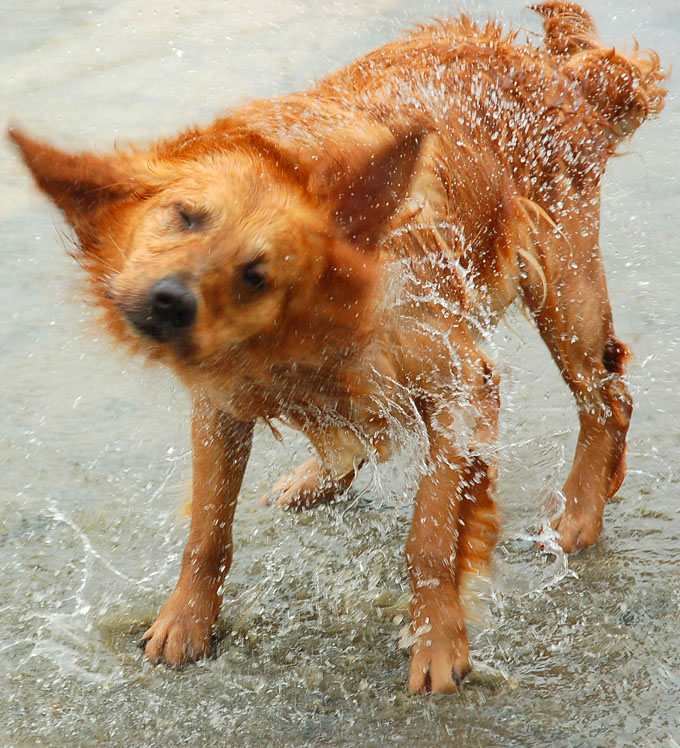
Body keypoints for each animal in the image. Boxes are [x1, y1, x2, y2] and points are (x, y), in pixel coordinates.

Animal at [10, 0, 668, 692]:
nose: (168, 300)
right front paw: (185, 620)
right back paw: (312, 478)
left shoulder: (460, 382)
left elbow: (430, 537)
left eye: (258, 271)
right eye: (186, 216)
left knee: (606, 399)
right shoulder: (221, 399)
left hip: (565, 294)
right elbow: (208, 529)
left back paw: (579, 516)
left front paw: (438, 643)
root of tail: (561, 72)